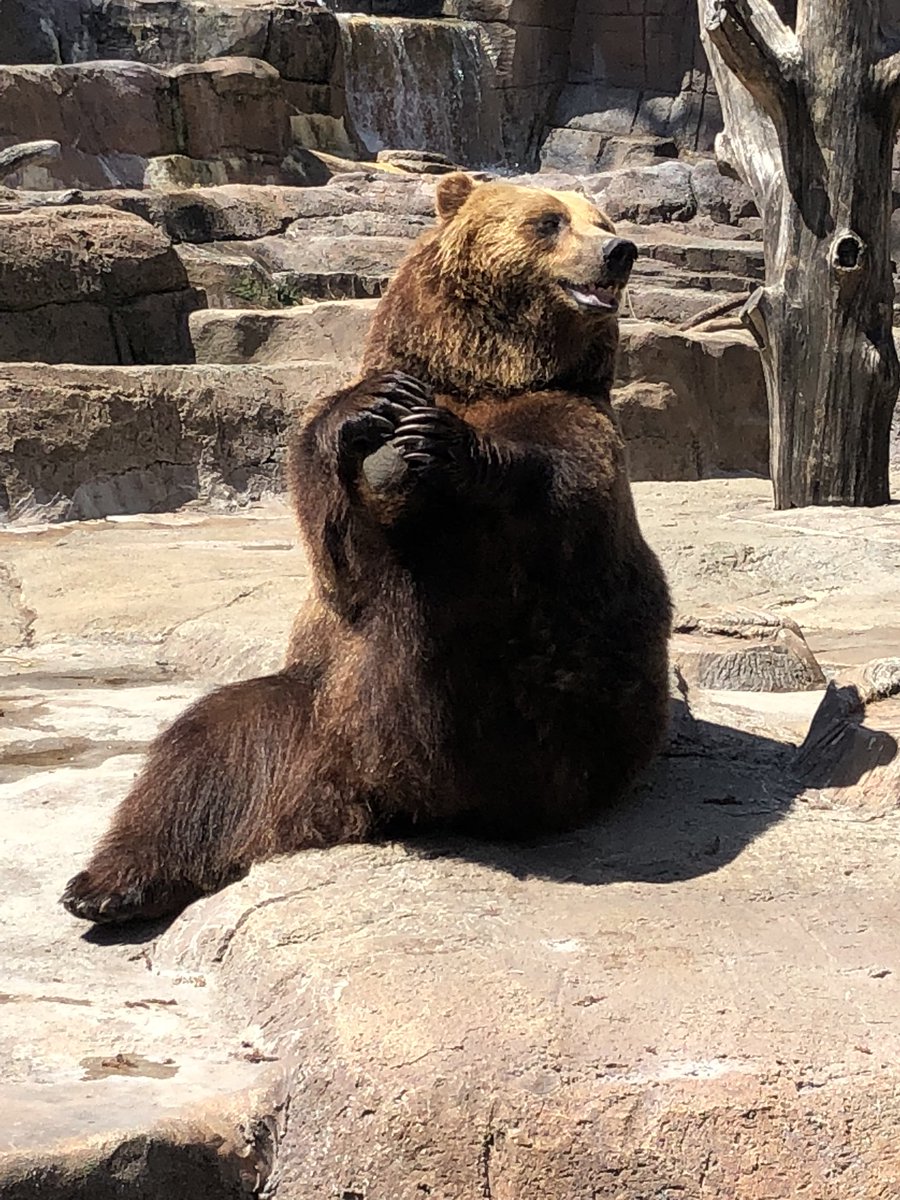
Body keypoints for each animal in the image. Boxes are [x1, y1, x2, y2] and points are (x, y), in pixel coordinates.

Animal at [61, 172, 672, 925]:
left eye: (602, 219)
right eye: (549, 221)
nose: (619, 250)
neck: (485, 370)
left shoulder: (574, 431)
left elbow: (557, 484)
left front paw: (439, 447)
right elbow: (332, 534)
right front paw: (372, 422)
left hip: (559, 719)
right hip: (309, 707)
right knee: (209, 752)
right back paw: (106, 887)